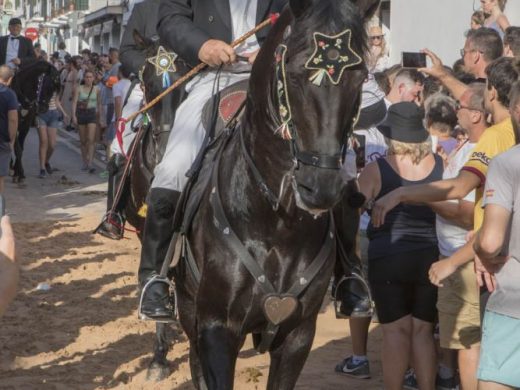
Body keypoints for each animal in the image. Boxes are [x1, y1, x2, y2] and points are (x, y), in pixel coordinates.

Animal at [149, 1, 378, 388]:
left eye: (360, 76)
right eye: (296, 74)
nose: (319, 187)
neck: (278, 221)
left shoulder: (298, 334)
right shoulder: (215, 330)